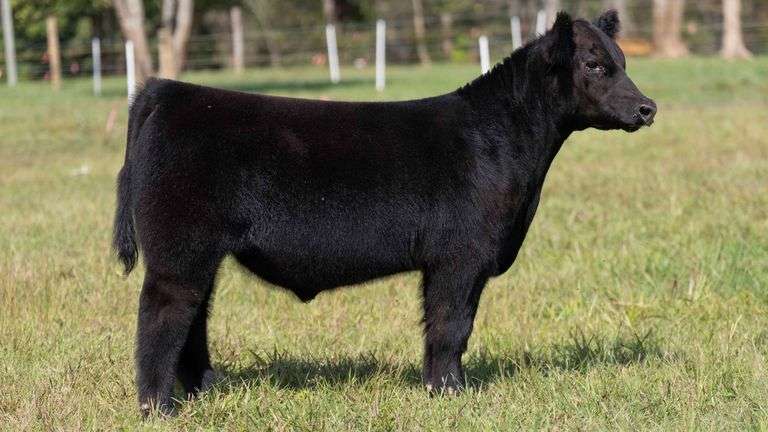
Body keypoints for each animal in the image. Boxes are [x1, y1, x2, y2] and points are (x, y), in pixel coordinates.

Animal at [113, 10, 656, 416]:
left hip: (200, 256)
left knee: (194, 318)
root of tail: (169, 91)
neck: (504, 138)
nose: (648, 108)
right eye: (594, 65)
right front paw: (449, 393)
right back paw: (159, 407)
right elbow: (451, 325)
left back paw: (205, 388)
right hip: (179, 252)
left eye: (623, 60)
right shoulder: (460, 257)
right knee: (162, 316)